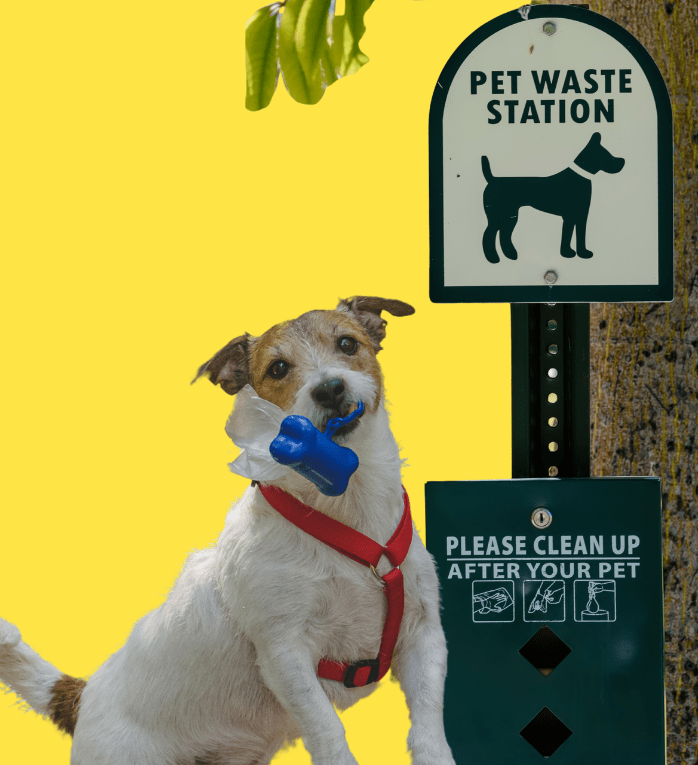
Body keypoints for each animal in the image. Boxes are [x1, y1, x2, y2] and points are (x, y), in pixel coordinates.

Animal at [0, 296, 454, 764]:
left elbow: (427, 726)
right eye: (278, 368)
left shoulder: (422, 634)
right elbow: (327, 730)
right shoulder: (285, 653)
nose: (329, 388)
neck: (346, 513)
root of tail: (84, 696)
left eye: (347, 344)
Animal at [482, 131, 624, 262]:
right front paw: (567, 253)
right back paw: (493, 258)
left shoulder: (581, 215)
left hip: (510, 216)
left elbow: (580, 235)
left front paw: (583, 253)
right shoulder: (570, 216)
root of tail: (492, 179)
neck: (580, 177)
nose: (622, 161)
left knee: (504, 234)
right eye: (607, 155)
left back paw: (510, 255)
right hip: (497, 217)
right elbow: (567, 234)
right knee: (489, 234)